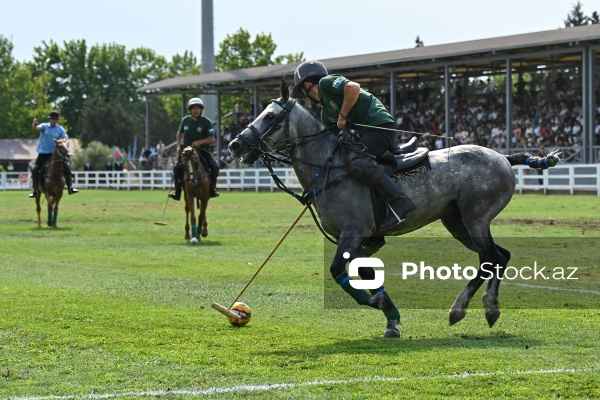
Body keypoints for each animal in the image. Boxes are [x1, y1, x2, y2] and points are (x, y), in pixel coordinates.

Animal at [227, 81, 560, 338]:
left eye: (270, 115)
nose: (234, 145)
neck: (328, 165)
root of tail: (503, 156)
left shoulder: (352, 233)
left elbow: (338, 272)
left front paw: (379, 305)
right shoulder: (360, 241)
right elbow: (368, 275)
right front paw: (392, 320)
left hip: (475, 216)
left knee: (490, 257)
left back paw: (469, 309)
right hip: (456, 221)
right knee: (498, 256)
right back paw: (479, 309)